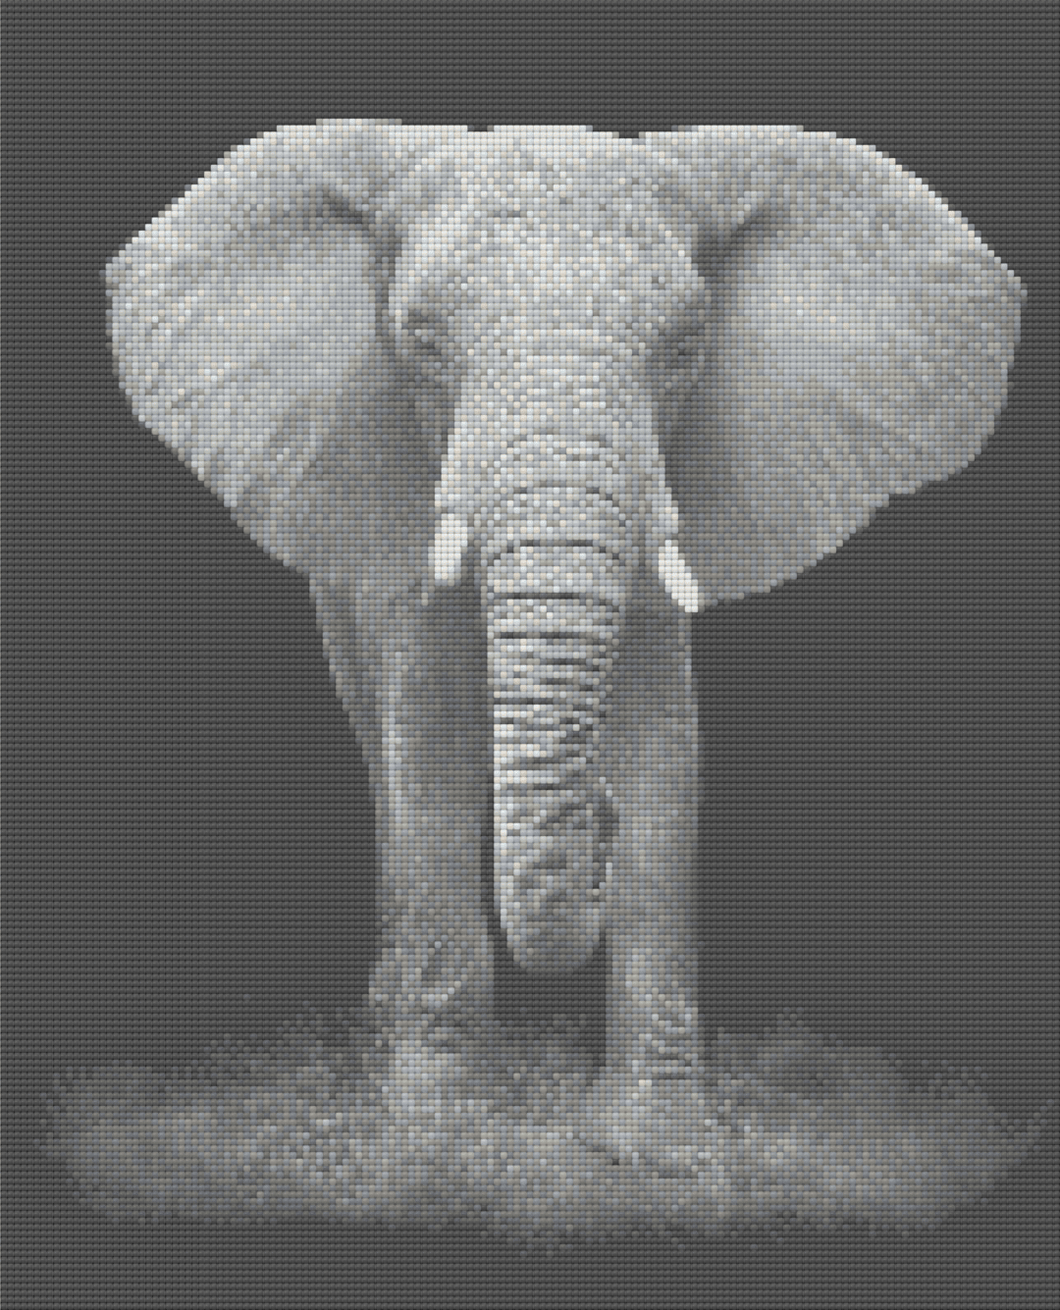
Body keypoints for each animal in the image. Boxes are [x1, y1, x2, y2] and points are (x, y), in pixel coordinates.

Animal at [104, 122, 1024, 1176]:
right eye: (421, 340)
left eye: (685, 347)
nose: (595, 818)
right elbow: (431, 758)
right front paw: (441, 1136)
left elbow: (666, 757)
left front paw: (658, 1147)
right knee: (377, 744)